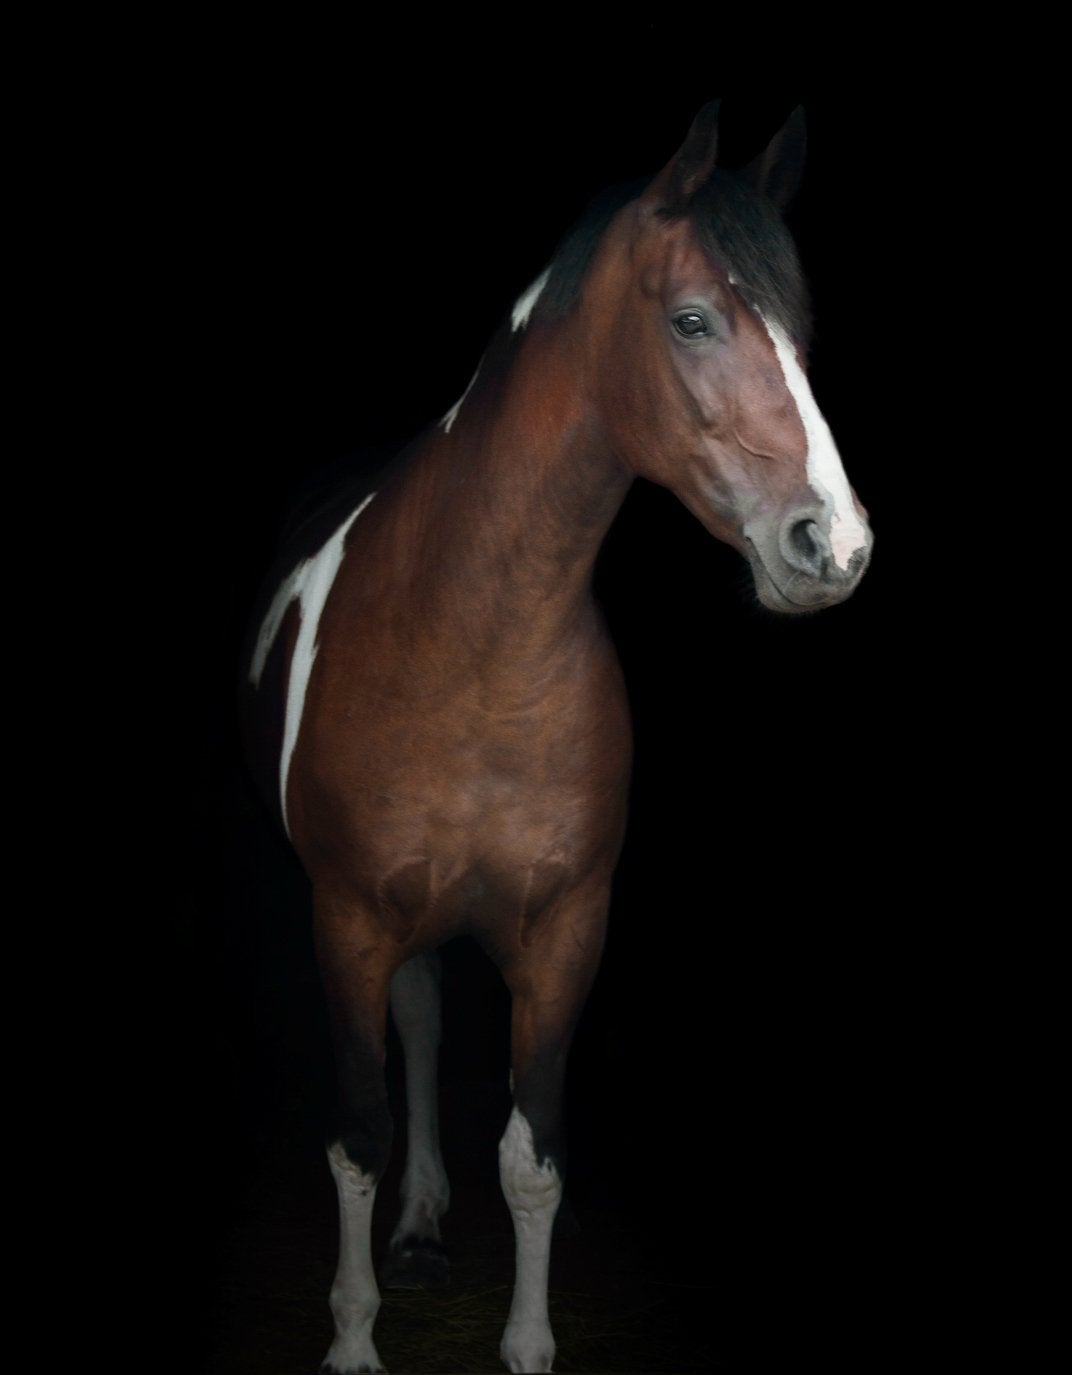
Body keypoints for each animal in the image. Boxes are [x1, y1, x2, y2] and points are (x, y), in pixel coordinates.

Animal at [242, 98, 872, 1374]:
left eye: (800, 334)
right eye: (690, 320)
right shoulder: (344, 919)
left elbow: (530, 1158)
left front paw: (528, 1345)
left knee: (429, 1024)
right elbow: (357, 1133)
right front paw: (352, 1343)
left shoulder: (568, 928)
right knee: (414, 1035)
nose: (831, 547)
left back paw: (426, 1231)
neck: (470, 641)